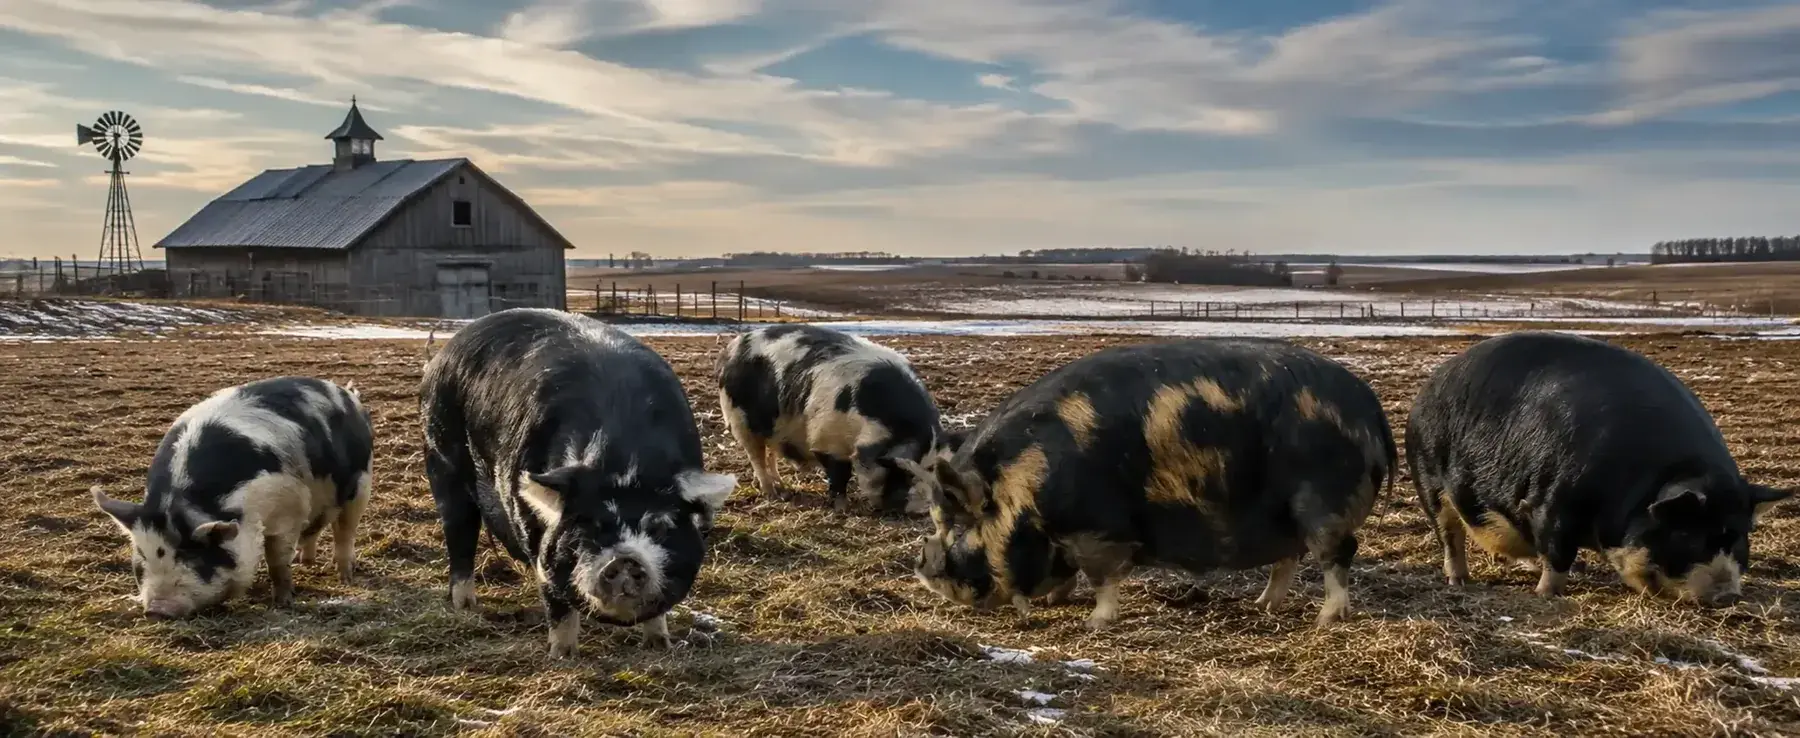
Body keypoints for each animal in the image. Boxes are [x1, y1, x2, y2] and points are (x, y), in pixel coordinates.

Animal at [92, 376, 374, 619]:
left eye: (193, 557)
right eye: (142, 557)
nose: (158, 611)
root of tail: (348, 394)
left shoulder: (287, 508)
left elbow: (277, 560)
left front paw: (283, 601)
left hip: (362, 484)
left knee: (344, 531)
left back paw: (345, 576)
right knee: (315, 529)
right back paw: (305, 561)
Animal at [420, 308, 736, 658]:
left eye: (660, 527)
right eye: (588, 527)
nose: (625, 559)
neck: (625, 461)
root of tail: (443, 354)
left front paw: (660, 645)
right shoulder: (537, 539)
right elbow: (557, 605)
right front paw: (563, 655)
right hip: (441, 461)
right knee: (459, 539)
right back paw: (466, 606)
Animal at [717, 324, 948, 514]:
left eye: (929, 469)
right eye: (900, 470)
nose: (920, 510)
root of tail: (732, 348)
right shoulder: (827, 438)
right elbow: (839, 474)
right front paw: (842, 508)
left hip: (771, 427)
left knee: (771, 453)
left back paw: (782, 487)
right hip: (740, 421)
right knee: (756, 457)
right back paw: (771, 493)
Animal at [900, 337, 1397, 628]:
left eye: (959, 524)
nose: (923, 567)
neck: (1022, 483)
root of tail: (1369, 407)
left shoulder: (1095, 528)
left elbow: (1103, 577)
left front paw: (1095, 623)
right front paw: (1055, 602)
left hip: (1325, 501)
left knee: (1338, 553)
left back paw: (1326, 619)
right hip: (1286, 517)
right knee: (1288, 559)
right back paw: (1261, 606)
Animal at [1406, 331, 1793, 605]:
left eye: (1738, 537)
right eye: (1688, 534)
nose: (1727, 597)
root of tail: (1426, 389)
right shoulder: (1549, 502)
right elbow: (1558, 555)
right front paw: (1546, 595)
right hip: (1429, 481)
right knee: (1449, 535)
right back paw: (1460, 581)